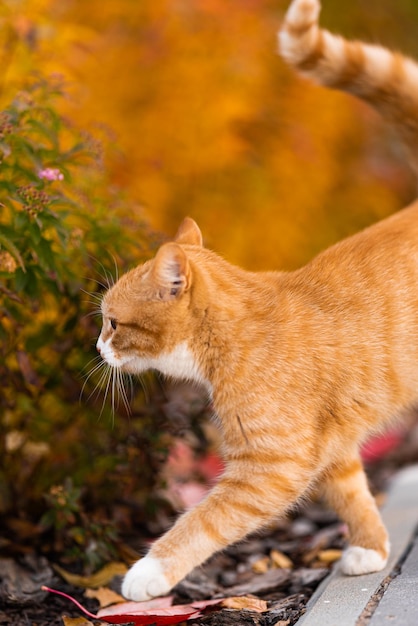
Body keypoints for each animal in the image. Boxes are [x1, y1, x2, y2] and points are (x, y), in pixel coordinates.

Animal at [95, 0, 418, 604]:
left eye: (112, 323)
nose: (98, 347)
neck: (234, 335)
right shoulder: (328, 448)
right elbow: (353, 493)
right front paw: (371, 549)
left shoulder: (267, 468)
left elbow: (203, 520)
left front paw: (147, 573)